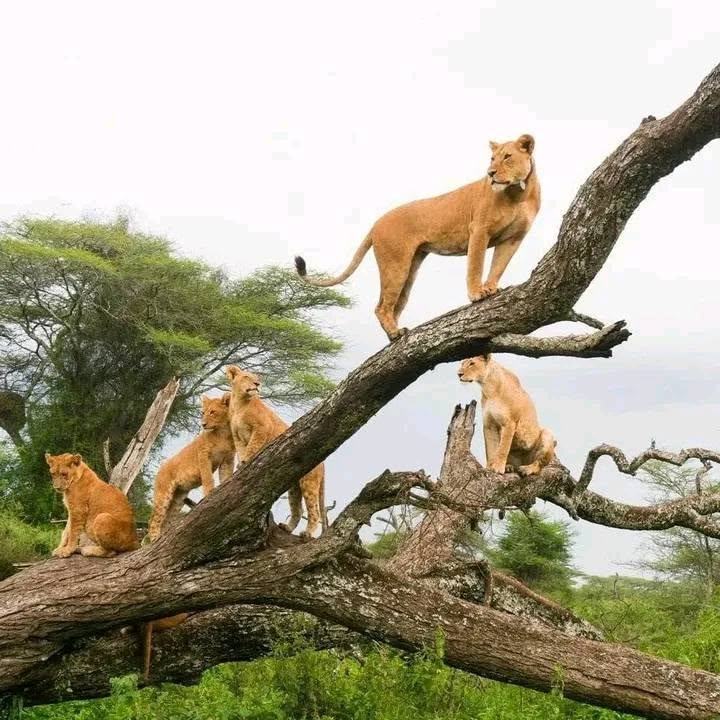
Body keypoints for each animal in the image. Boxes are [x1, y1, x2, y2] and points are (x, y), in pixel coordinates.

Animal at [148, 394, 236, 540]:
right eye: (203, 413)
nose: (203, 424)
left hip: (178, 498)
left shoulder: (228, 459)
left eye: (212, 412)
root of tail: (160, 469)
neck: (222, 432)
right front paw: (210, 492)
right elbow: (207, 477)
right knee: (154, 518)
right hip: (164, 494)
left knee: (167, 518)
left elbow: (226, 475)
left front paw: (226, 485)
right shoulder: (203, 456)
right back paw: (154, 538)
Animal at [225, 365, 327, 537]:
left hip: (308, 481)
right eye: (246, 376)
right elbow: (241, 450)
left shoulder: (262, 428)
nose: (257, 384)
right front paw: (241, 464)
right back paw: (287, 528)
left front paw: (246, 461)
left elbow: (252, 446)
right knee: (298, 509)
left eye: (257, 377)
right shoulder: (237, 437)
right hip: (294, 487)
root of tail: (324, 465)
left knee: (314, 510)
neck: (240, 403)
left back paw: (307, 534)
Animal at [295, 134, 540, 341]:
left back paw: (394, 335)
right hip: (396, 265)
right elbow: (475, 265)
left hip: (410, 268)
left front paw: (491, 288)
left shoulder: (514, 238)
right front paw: (477, 294)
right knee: (381, 306)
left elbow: (498, 266)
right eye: (492, 158)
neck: (518, 193)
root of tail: (375, 224)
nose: (490, 173)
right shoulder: (479, 230)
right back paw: (395, 334)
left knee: (395, 305)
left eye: (507, 157)